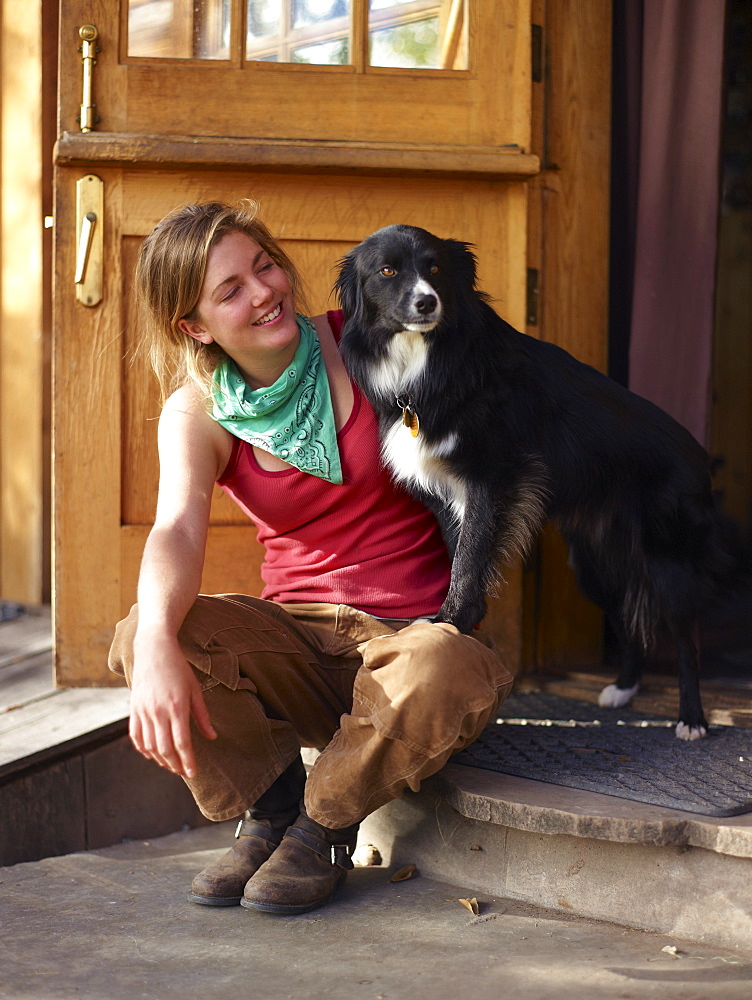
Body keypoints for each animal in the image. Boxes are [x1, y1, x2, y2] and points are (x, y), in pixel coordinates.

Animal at [334, 229, 736, 744]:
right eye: (387, 271)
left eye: (436, 269)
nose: (427, 302)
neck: (427, 357)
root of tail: (699, 456)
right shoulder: (448, 494)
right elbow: (461, 551)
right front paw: (463, 622)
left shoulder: (494, 480)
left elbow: (470, 558)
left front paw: (449, 623)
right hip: (597, 565)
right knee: (629, 621)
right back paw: (623, 688)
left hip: (669, 562)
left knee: (686, 638)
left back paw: (692, 718)